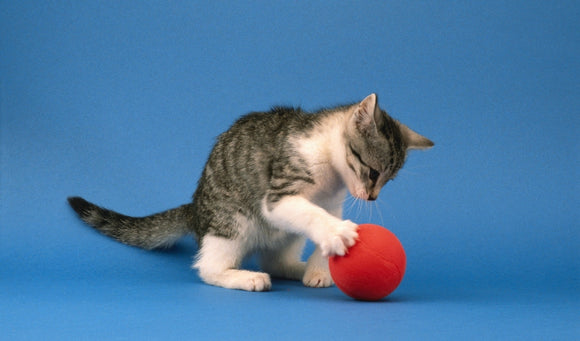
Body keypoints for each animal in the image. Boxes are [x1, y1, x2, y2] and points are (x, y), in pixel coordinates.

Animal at [68, 93, 432, 290]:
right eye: (373, 173)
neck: (331, 176)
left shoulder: (332, 203)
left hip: (284, 236)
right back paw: (245, 277)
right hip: (233, 222)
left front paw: (321, 266)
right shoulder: (278, 197)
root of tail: (194, 208)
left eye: (388, 181)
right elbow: (310, 214)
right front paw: (335, 235)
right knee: (208, 268)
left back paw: (298, 268)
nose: (371, 197)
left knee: (275, 259)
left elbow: (321, 220)